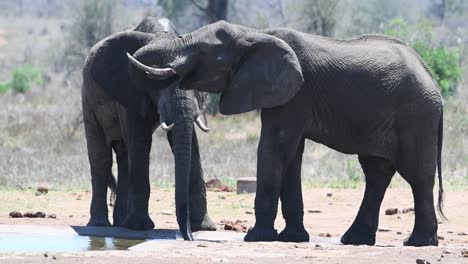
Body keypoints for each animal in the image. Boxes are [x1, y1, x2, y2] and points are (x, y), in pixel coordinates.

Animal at [82, 16, 216, 239]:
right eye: (155, 81)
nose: (187, 236)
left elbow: (191, 144)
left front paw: (206, 227)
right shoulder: (130, 90)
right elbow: (140, 141)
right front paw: (140, 227)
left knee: (124, 157)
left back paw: (121, 222)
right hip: (88, 98)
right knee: (102, 157)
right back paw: (101, 225)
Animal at [127, 21, 446, 246]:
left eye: (204, 53)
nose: (190, 237)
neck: (255, 35)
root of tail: (431, 78)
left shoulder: (294, 95)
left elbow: (273, 148)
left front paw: (256, 237)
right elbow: (291, 155)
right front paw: (292, 238)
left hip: (416, 116)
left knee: (416, 175)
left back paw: (418, 243)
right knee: (376, 172)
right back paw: (355, 240)